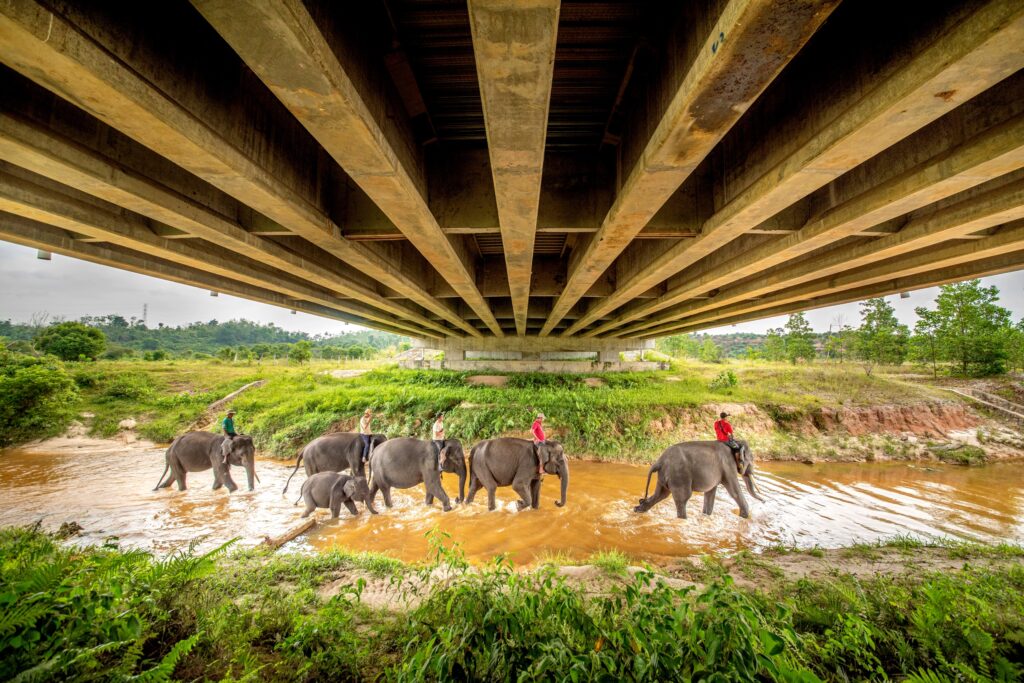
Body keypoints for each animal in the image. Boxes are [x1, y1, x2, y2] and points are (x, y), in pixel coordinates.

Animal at [630, 440, 770, 520]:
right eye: (751, 459)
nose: (764, 502)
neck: (734, 443)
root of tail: (659, 461)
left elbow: (710, 493)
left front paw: (706, 516)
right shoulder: (728, 466)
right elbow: (734, 491)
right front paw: (745, 517)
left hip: (664, 476)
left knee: (661, 495)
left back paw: (637, 509)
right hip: (679, 476)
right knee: (682, 499)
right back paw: (683, 520)